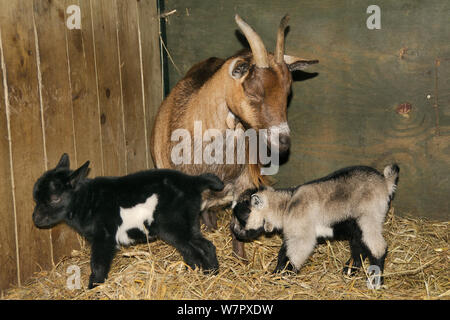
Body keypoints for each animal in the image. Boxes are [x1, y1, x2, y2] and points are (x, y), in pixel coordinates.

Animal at [150, 15, 316, 260]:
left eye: (288, 93)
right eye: (254, 93)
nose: (284, 142)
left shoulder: (243, 184)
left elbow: (235, 222)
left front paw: (241, 259)